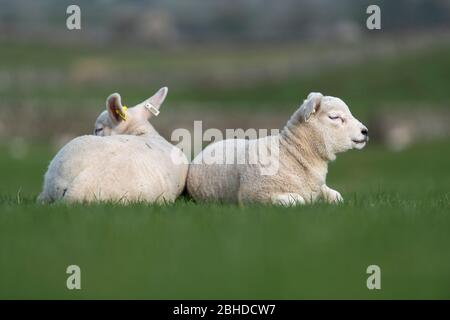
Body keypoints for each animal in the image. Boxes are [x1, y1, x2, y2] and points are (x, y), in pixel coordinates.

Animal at [186, 91, 370, 205]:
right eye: (334, 117)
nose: (365, 131)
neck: (291, 153)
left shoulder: (319, 188)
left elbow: (338, 197)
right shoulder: (258, 194)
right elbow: (298, 201)